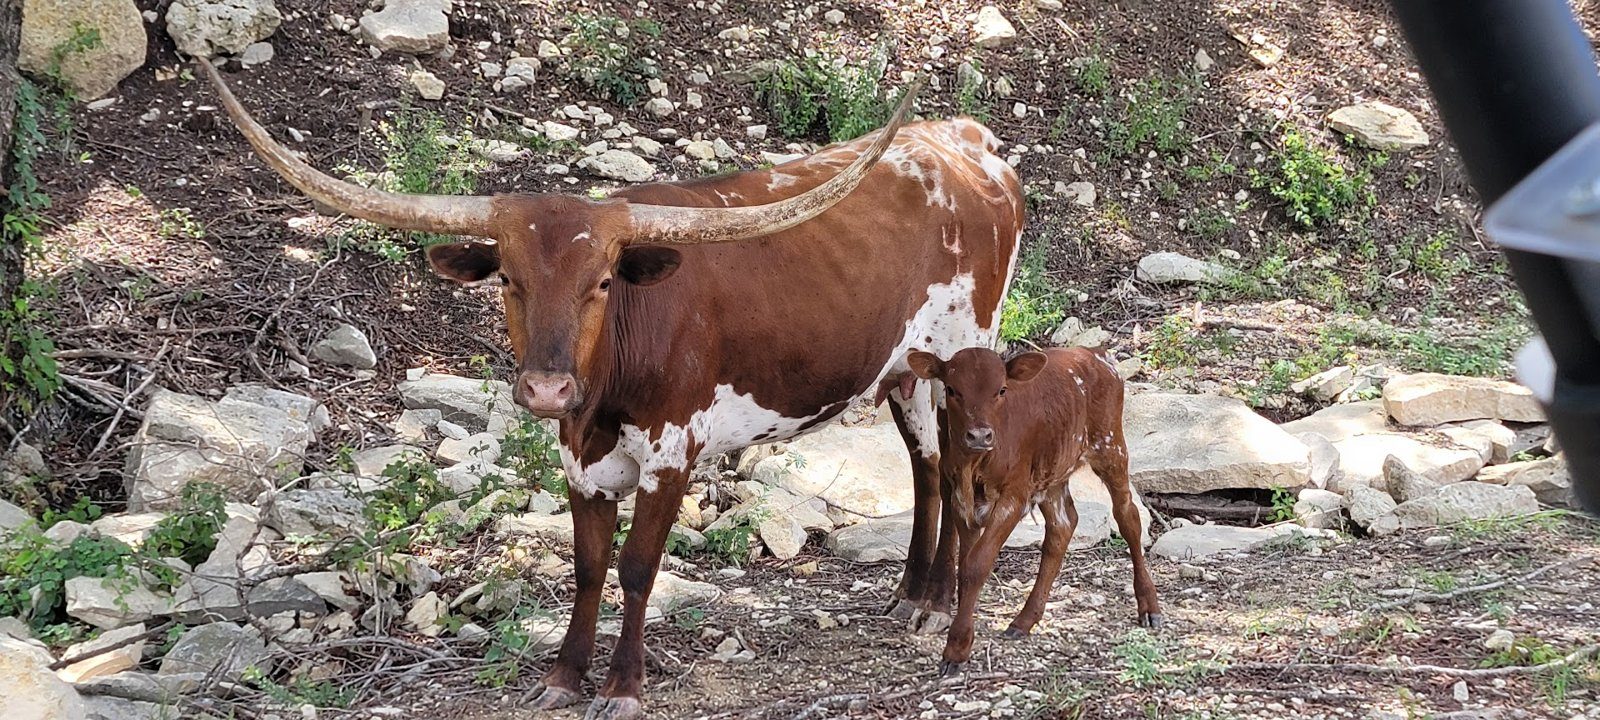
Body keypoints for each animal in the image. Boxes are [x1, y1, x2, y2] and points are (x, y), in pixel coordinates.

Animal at [198, 59, 1024, 719]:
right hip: (904, 370)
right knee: (926, 468)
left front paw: (623, 685)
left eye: (601, 283)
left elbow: (636, 567)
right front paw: (564, 675)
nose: (545, 390)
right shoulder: (580, 460)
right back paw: (915, 593)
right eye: (508, 278)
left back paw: (937, 603)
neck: (603, 391)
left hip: (966, 352)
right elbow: (589, 565)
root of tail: (963, 141)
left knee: (956, 469)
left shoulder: (672, 453)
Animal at [905, 347, 1161, 676]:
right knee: (1063, 525)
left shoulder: (1014, 495)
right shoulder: (960, 499)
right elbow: (966, 564)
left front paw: (956, 649)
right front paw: (961, 641)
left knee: (1127, 515)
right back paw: (1024, 620)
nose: (979, 436)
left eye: (1001, 390)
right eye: (951, 390)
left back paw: (1149, 606)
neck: (974, 465)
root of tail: (1094, 353)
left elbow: (977, 565)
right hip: (1052, 471)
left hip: (1111, 445)